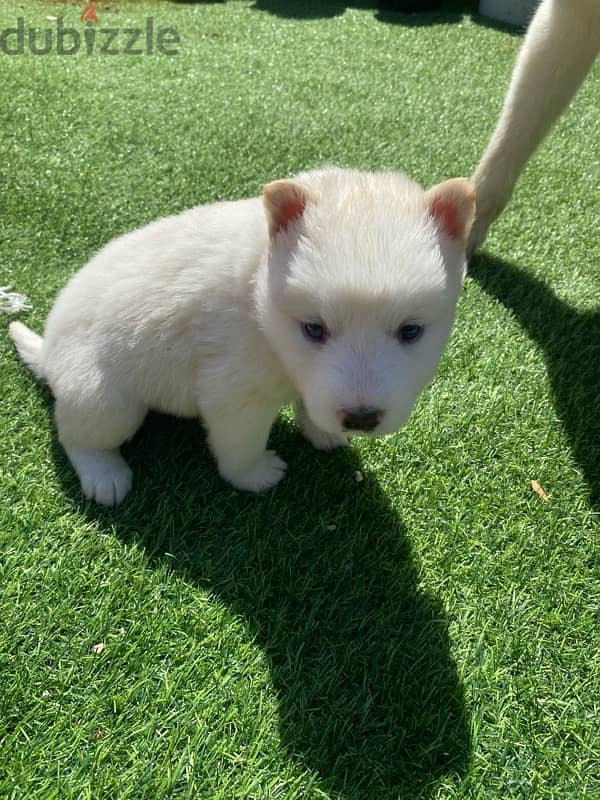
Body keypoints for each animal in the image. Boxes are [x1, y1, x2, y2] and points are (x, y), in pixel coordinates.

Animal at [8, 169, 474, 506]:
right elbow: (240, 445)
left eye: (411, 331)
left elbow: (311, 403)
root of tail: (49, 352)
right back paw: (105, 476)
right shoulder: (234, 394)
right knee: (75, 435)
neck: (259, 295)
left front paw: (321, 432)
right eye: (314, 329)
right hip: (105, 400)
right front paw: (255, 476)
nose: (360, 418)